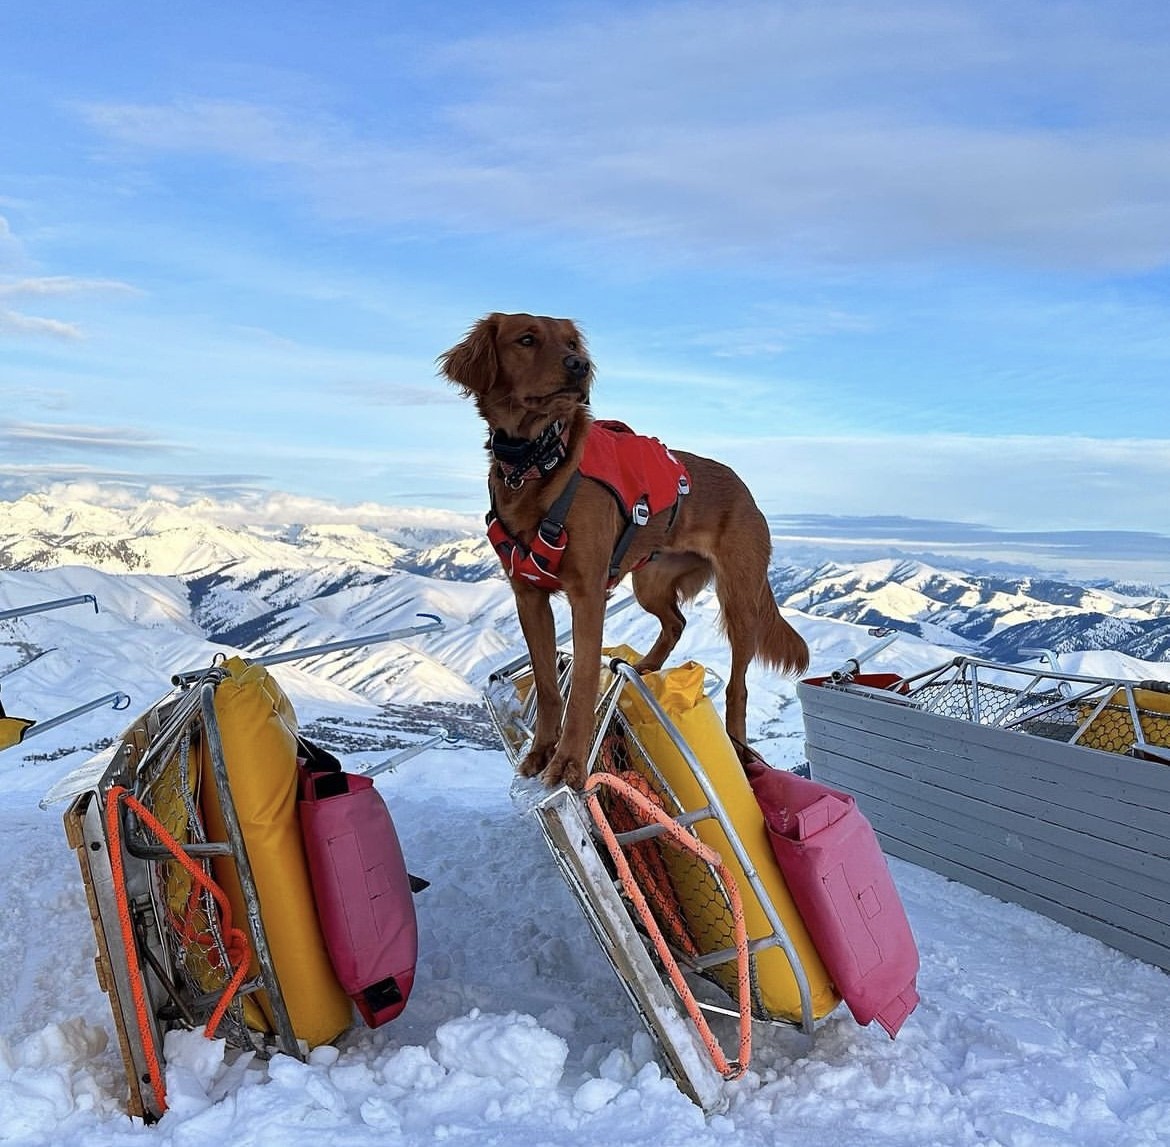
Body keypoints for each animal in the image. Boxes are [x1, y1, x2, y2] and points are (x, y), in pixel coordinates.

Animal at [439, 313, 804, 791]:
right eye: (526, 339)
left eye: (572, 343)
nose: (579, 365)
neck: (538, 462)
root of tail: (744, 490)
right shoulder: (529, 595)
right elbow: (549, 686)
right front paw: (541, 751)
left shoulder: (588, 594)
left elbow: (580, 688)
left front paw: (570, 763)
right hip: (650, 581)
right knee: (676, 622)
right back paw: (646, 668)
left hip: (740, 598)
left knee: (737, 684)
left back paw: (738, 745)